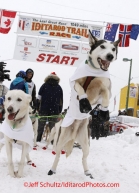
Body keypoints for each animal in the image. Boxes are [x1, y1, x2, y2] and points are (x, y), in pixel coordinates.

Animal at [48, 29, 120, 178]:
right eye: (102, 46)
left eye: (113, 49)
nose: (110, 56)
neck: (94, 73)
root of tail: (74, 134)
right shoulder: (76, 82)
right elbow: (80, 89)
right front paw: (84, 102)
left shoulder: (105, 87)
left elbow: (106, 97)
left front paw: (104, 111)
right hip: (60, 140)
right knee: (57, 155)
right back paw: (52, 170)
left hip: (86, 144)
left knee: (84, 158)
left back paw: (88, 173)